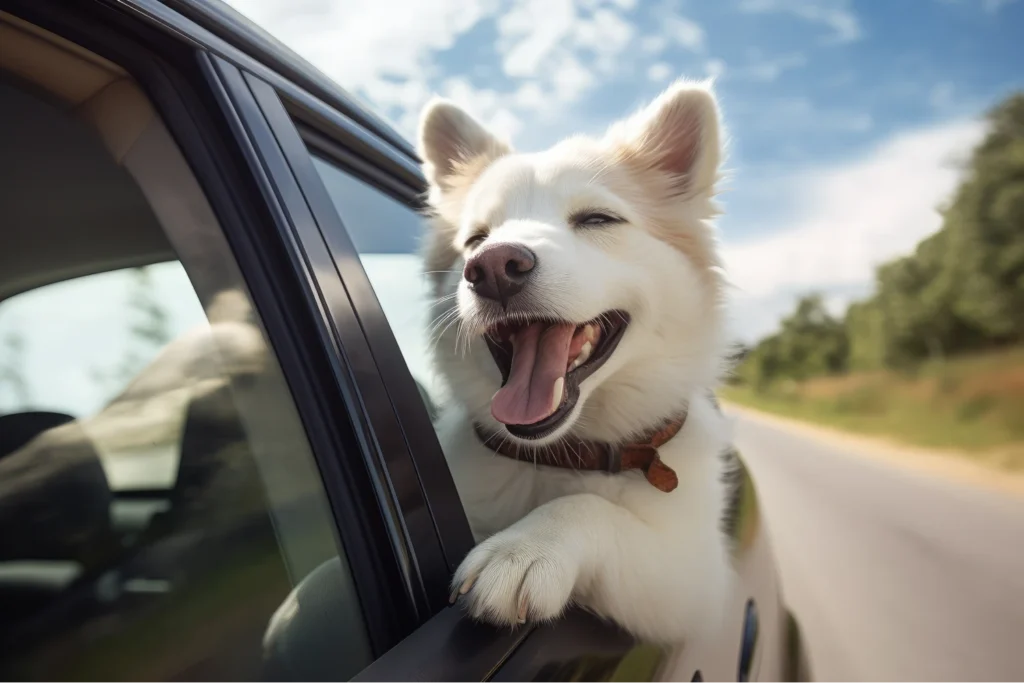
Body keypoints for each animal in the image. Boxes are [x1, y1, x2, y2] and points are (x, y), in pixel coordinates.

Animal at [417, 80, 745, 647]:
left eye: (596, 220)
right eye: (476, 238)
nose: (493, 266)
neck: (562, 456)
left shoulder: (698, 584)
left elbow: (588, 507)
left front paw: (524, 549)